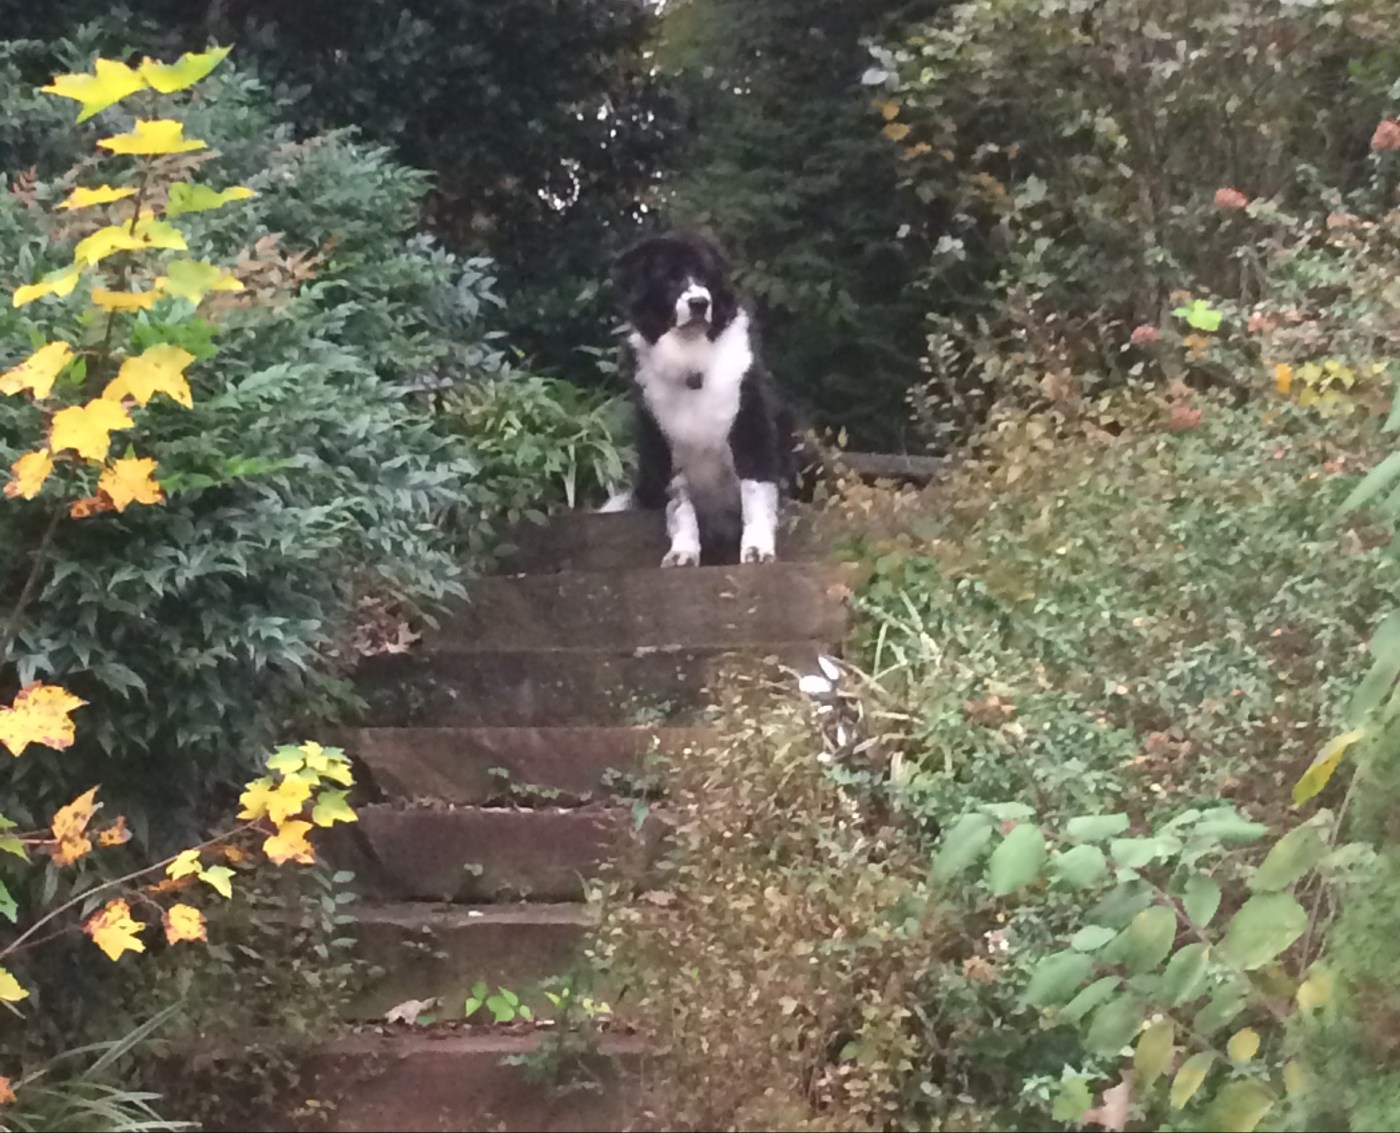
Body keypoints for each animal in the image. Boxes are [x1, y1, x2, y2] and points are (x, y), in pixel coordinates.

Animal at [602, 230, 795, 568]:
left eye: (705, 276)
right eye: (670, 278)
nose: (699, 302)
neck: (692, 360)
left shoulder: (751, 426)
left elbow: (755, 491)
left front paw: (757, 549)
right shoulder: (665, 444)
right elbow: (680, 505)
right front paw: (683, 552)